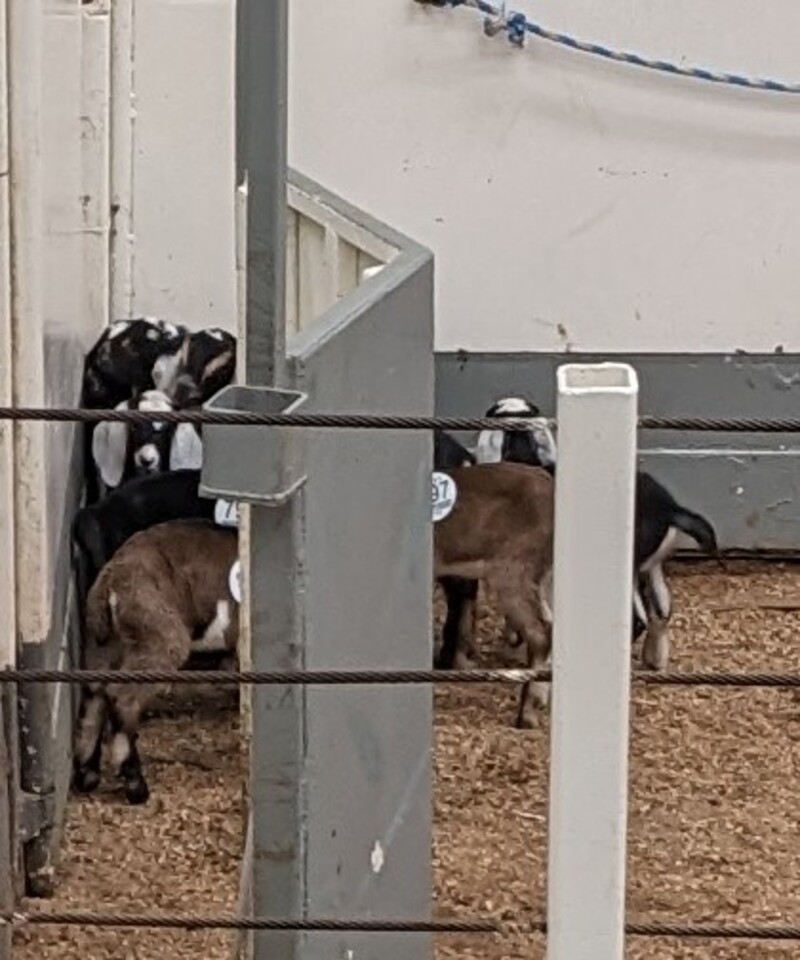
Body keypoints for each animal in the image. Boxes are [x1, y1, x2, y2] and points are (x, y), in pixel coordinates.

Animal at [72, 516, 238, 804]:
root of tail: (110, 581)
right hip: (160, 635)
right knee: (121, 696)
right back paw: (135, 785)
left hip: (105, 644)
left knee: (95, 694)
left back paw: (87, 775)